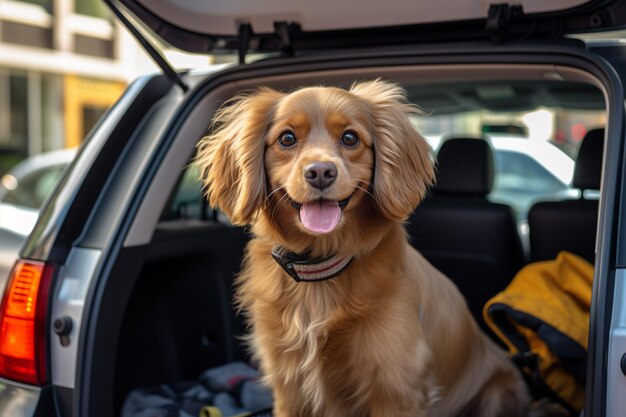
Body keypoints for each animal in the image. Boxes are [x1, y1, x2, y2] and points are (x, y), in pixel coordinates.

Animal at [195, 79, 532, 414]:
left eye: (350, 138)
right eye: (287, 138)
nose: (320, 172)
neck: (321, 269)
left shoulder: (395, 388)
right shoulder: (288, 389)